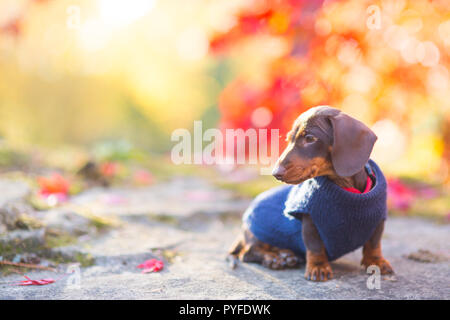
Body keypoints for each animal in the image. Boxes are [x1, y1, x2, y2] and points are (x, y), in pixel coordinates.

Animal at [229, 105, 394, 282]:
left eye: (310, 138)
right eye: (289, 139)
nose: (275, 173)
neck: (346, 188)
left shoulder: (378, 219)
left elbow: (374, 243)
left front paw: (377, 262)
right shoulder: (310, 219)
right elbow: (314, 246)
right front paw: (318, 266)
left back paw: (285, 255)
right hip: (258, 233)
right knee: (248, 252)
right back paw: (274, 258)